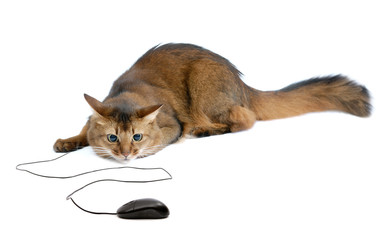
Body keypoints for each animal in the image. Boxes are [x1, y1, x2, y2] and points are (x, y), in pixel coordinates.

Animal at [52, 44, 372, 162]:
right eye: (113, 137)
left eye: (137, 137)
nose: (127, 154)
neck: (128, 93)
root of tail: (241, 84)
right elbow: (85, 130)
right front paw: (69, 141)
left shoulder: (172, 123)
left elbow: (164, 138)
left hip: (203, 83)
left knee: (244, 119)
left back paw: (207, 130)